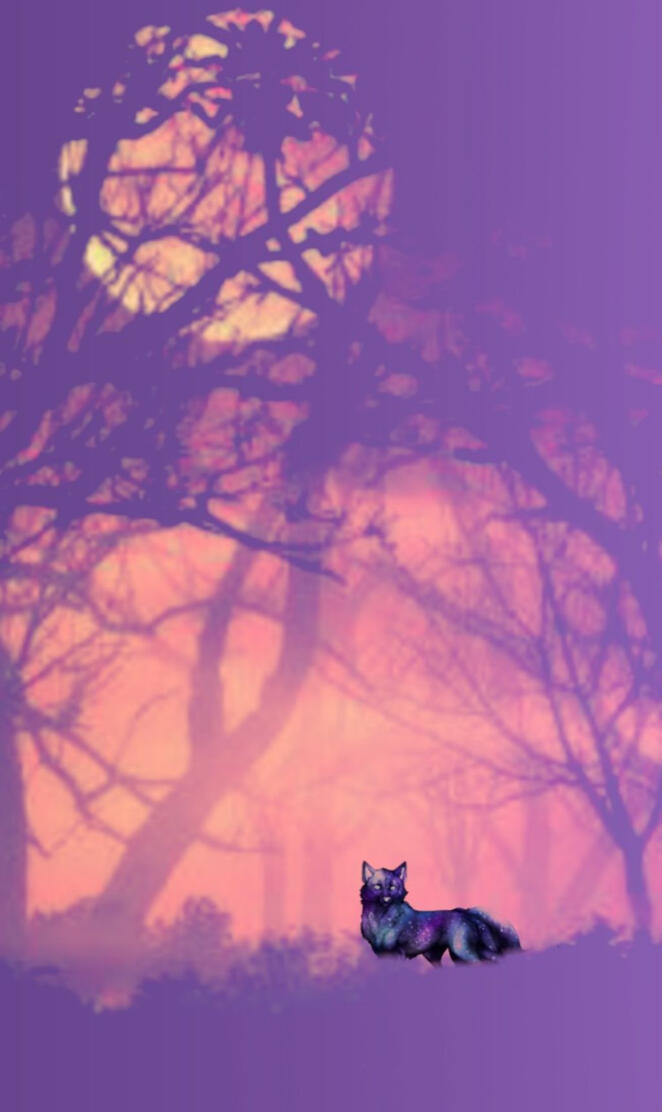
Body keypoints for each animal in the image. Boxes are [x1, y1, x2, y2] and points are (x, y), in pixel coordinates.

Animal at [360, 861, 521, 964]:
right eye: (378, 887)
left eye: (392, 887)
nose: (387, 899)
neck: (380, 921)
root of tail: (466, 913)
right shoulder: (381, 955)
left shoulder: (397, 954)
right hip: (451, 957)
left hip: (462, 952)